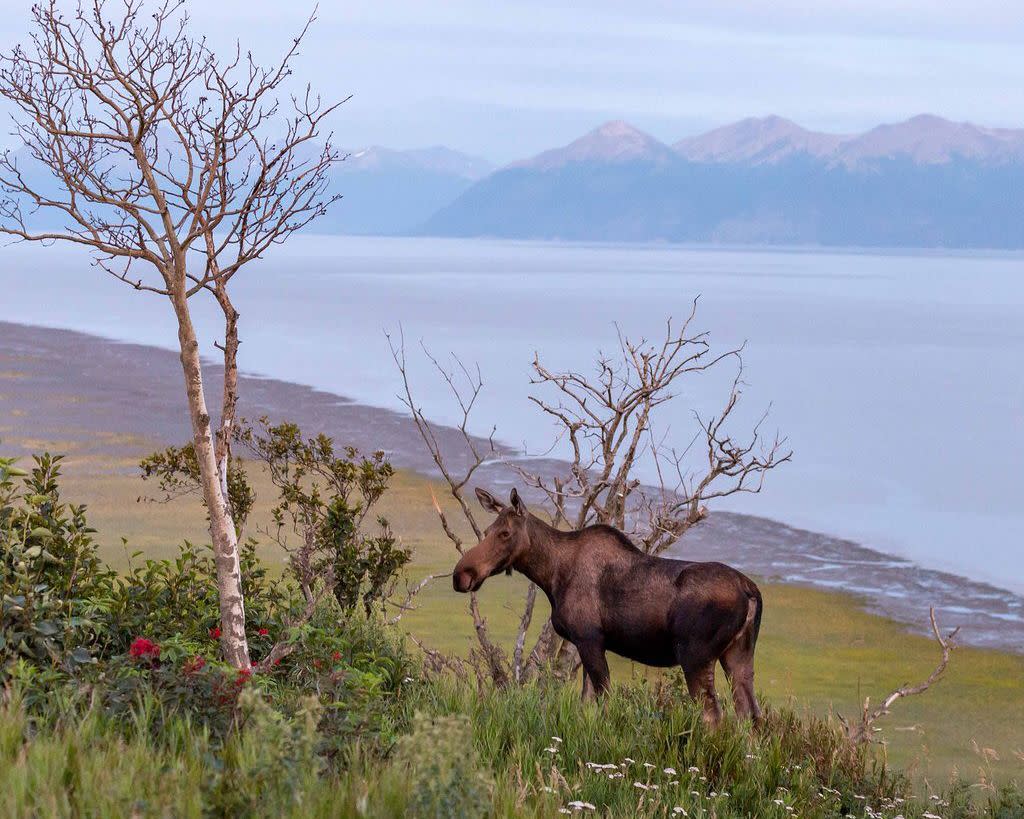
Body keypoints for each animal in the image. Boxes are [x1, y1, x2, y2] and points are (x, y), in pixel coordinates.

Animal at [452, 483, 765, 724]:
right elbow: (586, 705)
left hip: (695, 655)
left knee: (713, 715)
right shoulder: (588, 643)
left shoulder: (588, 638)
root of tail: (750, 591)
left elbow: (603, 702)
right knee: (751, 715)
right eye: (488, 529)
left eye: (505, 533)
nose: (462, 574)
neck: (551, 574)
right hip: (738, 655)